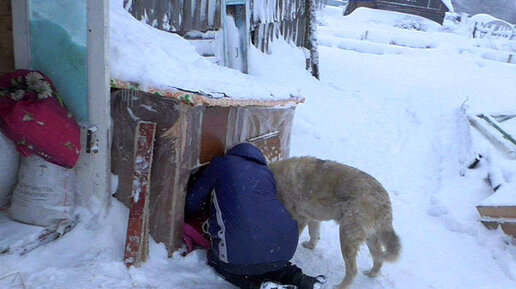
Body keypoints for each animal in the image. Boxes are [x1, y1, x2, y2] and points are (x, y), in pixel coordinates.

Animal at [268, 156, 402, 288]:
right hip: (369, 238)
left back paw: (341, 286)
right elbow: (314, 234)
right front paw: (310, 246)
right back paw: (371, 273)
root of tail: (384, 201)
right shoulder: (312, 218)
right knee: (378, 258)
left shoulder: (299, 219)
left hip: (346, 237)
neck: (274, 180)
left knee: (353, 270)